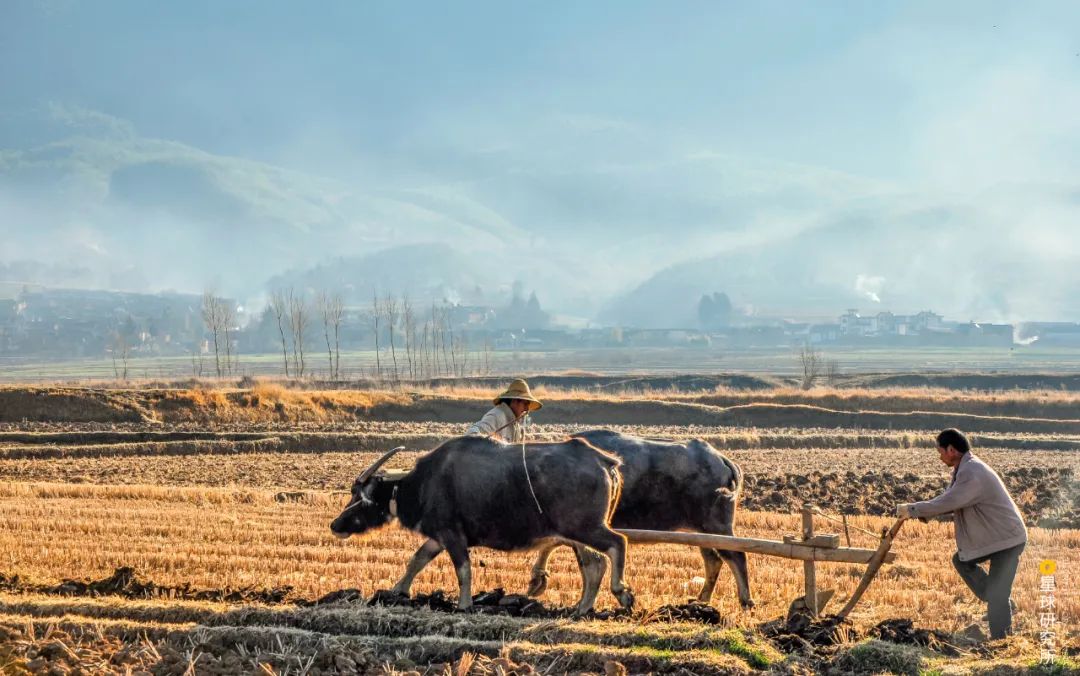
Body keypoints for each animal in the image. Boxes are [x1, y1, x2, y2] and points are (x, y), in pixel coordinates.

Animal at [328, 434, 630, 613]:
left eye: (357, 494)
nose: (335, 525)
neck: (423, 483)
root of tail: (603, 460)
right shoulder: (438, 537)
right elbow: (417, 559)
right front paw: (396, 591)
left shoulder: (452, 536)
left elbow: (463, 570)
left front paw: (463, 605)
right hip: (576, 534)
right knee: (594, 564)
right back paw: (582, 609)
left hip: (585, 528)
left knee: (617, 543)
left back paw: (622, 594)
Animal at [529, 429, 751, 609]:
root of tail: (721, 459)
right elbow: (557, 547)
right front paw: (538, 580)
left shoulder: (581, 526)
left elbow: (580, 560)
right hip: (702, 530)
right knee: (713, 559)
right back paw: (701, 600)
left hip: (718, 525)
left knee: (736, 556)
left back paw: (745, 601)